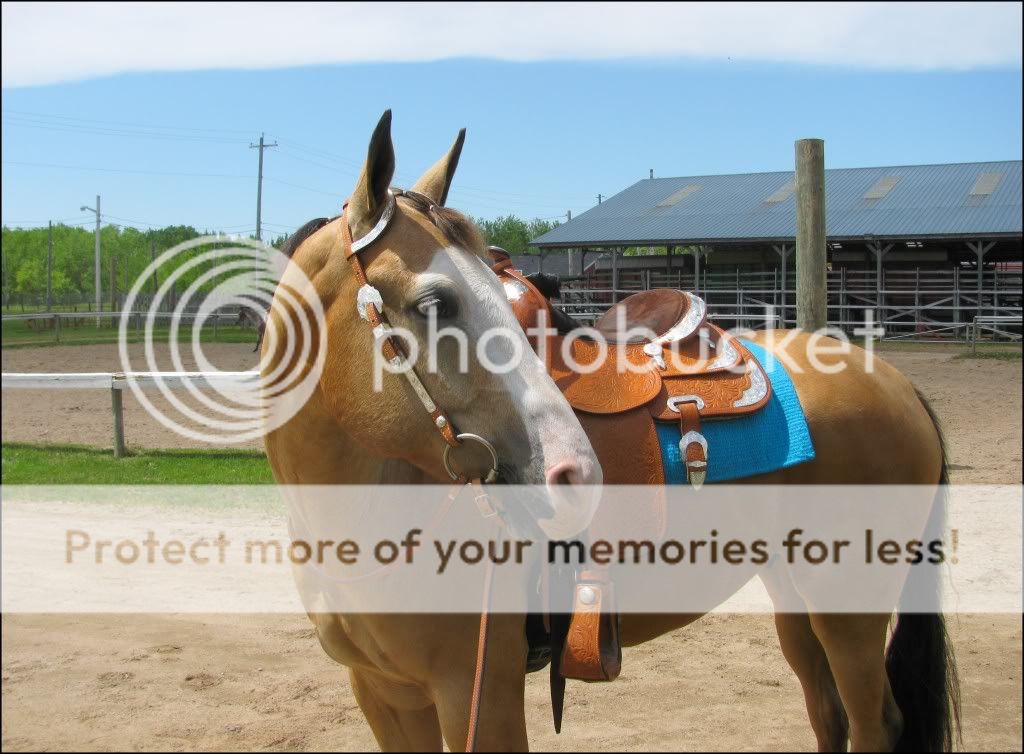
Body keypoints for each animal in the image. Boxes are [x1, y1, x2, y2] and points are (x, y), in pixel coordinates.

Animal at [262, 111, 958, 754]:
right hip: (794, 596)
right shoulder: (385, 695)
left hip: (848, 611)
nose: (575, 473)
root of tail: (895, 384)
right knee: (828, 715)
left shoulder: (478, 695)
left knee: (874, 723)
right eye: (435, 303)